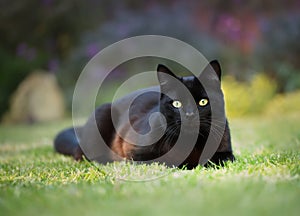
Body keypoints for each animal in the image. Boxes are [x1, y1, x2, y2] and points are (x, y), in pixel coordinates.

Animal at [55, 60, 236, 169]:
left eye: (203, 102)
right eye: (177, 103)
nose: (190, 114)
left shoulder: (227, 153)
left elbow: (219, 159)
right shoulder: (136, 153)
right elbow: (166, 161)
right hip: (101, 117)